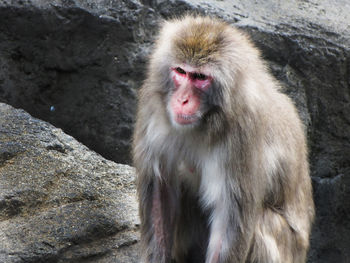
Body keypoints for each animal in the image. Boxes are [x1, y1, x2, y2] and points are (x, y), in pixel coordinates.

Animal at [133, 15, 316, 262]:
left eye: (200, 77)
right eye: (181, 71)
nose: (181, 100)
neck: (206, 122)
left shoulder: (245, 131)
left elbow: (229, 221)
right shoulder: (152, 107)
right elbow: (160, 194)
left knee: (263, 223)